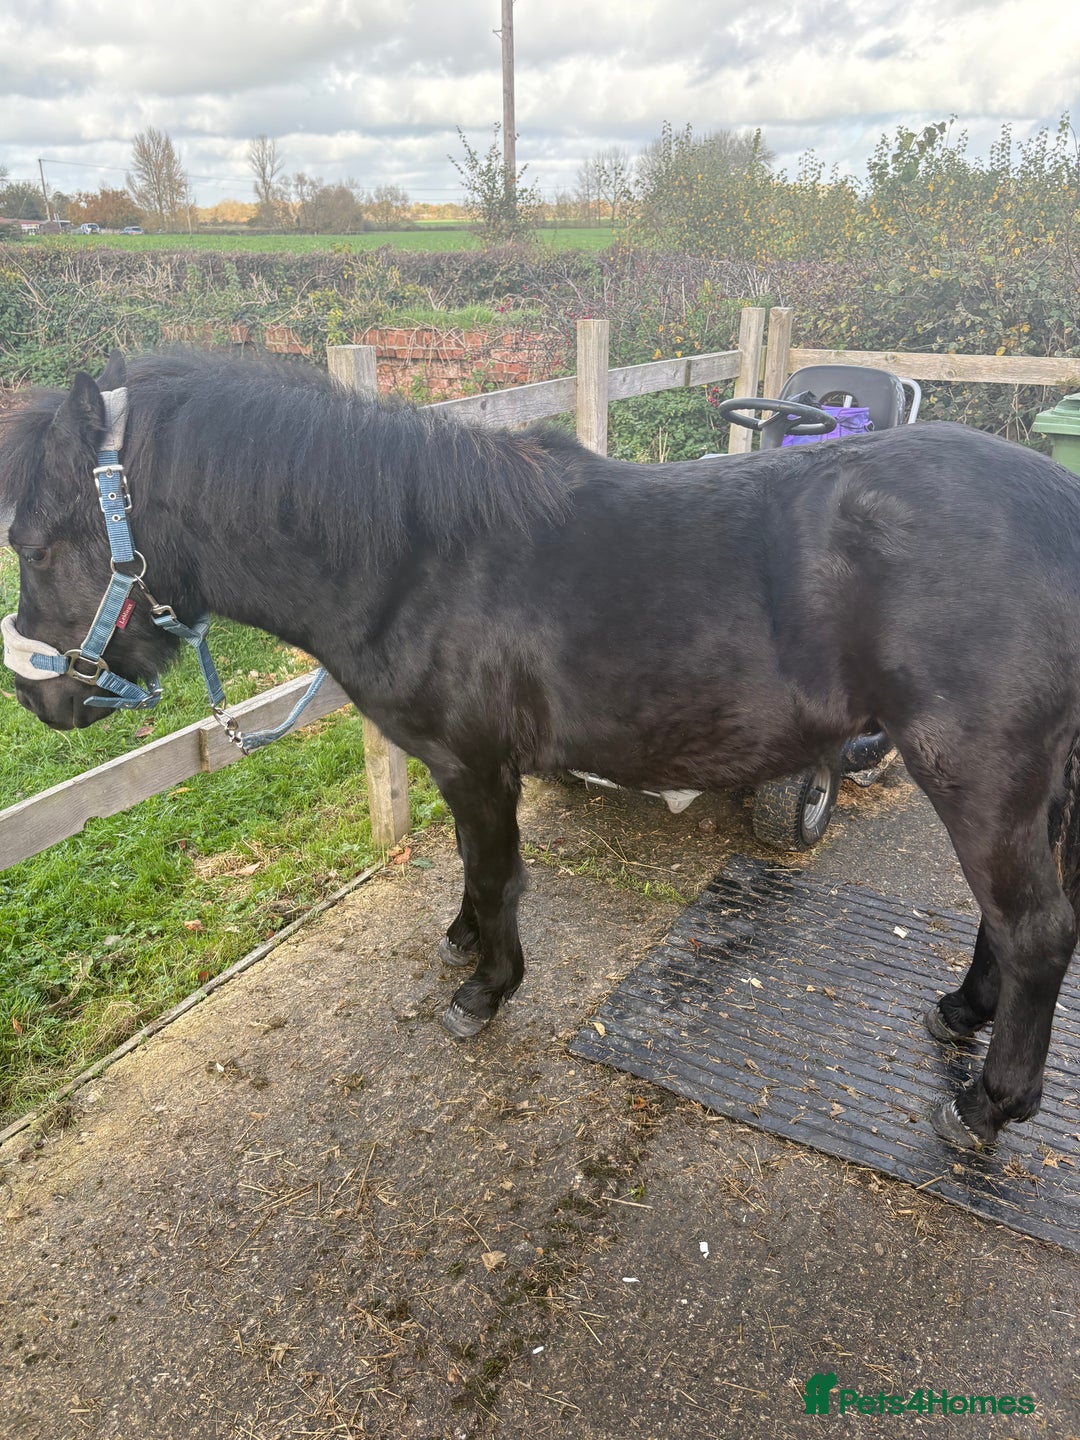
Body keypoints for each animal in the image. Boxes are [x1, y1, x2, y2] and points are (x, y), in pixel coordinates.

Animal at [2, 348, 1079, 1152]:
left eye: (38, 544)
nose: (38, 696)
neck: (415, 559)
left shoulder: (476, 764)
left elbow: (498, 874)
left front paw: (486, 989)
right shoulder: (463, 769)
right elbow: (474, 870)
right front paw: (464, 943)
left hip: (979, 773)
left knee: (1035, 930)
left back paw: (988, 1105)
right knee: (1010, 919)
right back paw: (961, 1014)